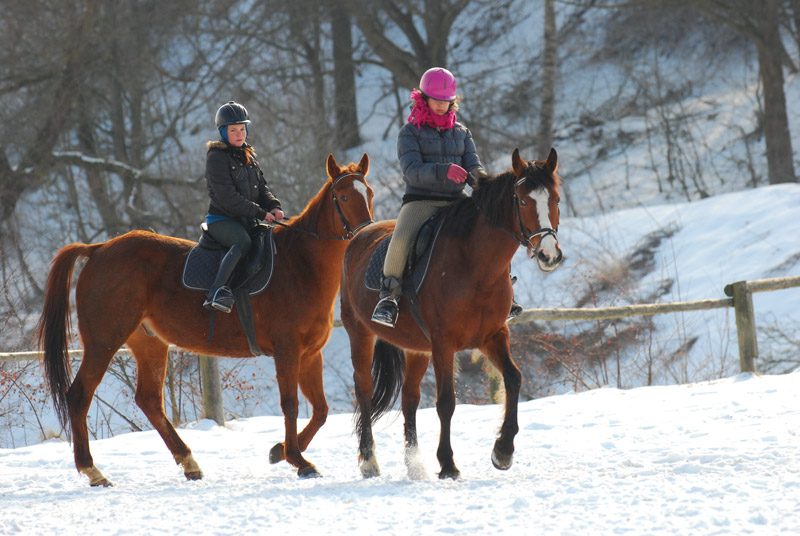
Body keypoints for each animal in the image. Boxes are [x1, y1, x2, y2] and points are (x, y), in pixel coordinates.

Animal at [38, 153, 376, 484]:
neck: (299, 265)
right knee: (79, 395)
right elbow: (291, 405)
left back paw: (189, 463)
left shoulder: (310, 354)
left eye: (369, 193)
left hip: (149, 344)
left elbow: (320, 410)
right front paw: (297, 460)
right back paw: (92, 471)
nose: (364, 232)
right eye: (343, 196)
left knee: (149, 401)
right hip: (104, 341)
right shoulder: (288, 351)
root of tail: (97, 250)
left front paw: (280, 451)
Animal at [340, 149, 564, 480]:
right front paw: (447, 464)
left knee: (409, 398)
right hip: (360, 333)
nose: (549, 255)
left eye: (556, 200)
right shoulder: (443, 343)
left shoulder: (493, 335)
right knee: (364, 389)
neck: (476, 265)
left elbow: (514, 378)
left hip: (417, 348)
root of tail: (360, 234)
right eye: (523, 201)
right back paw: (369, 460)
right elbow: (446, 401)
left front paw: (503, 451)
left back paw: (414, 464)